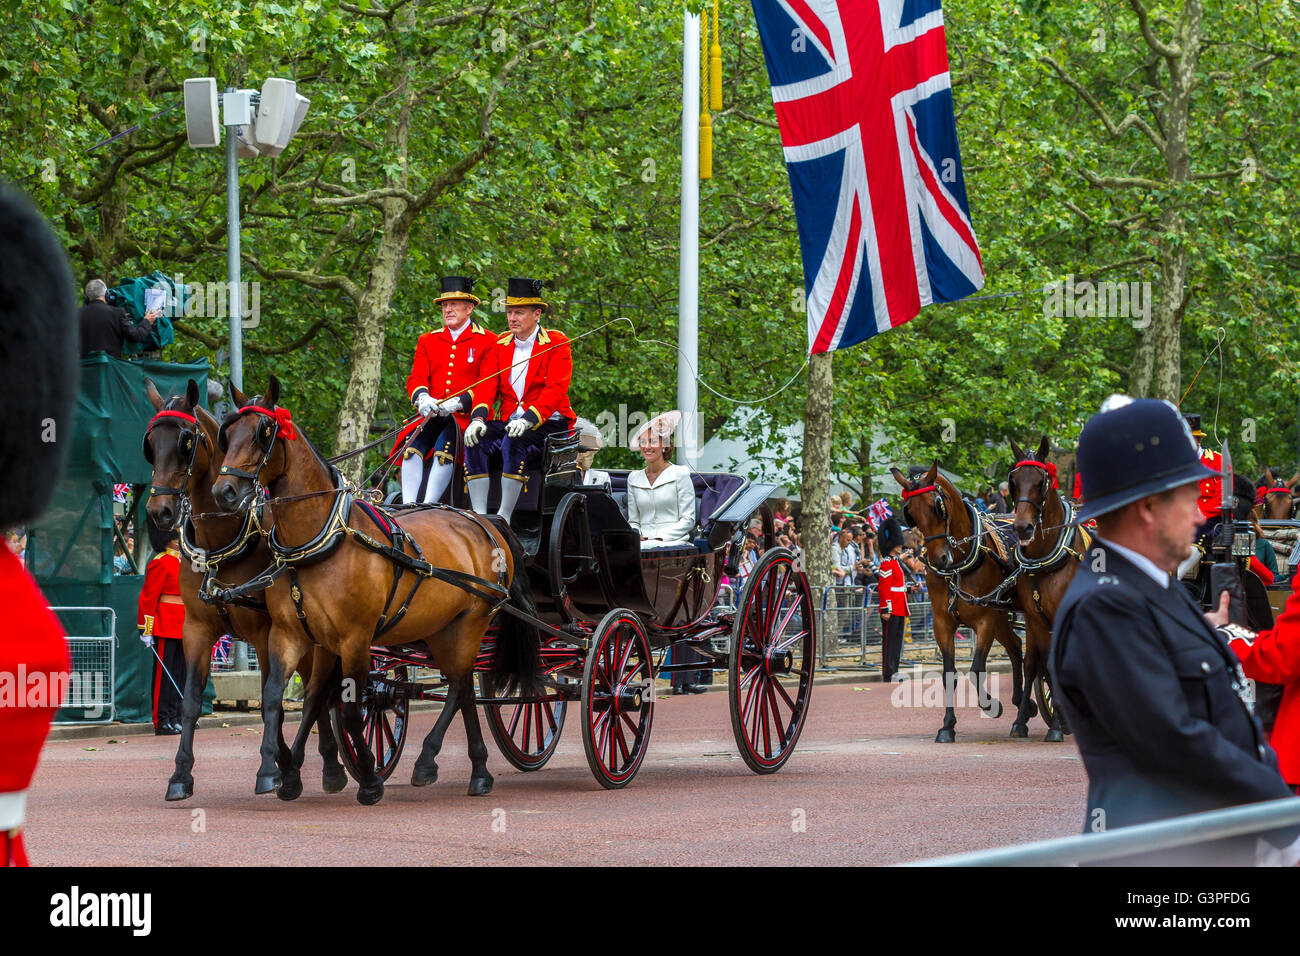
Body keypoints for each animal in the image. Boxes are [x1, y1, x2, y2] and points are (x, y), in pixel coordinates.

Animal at [143, 379, 345, 801]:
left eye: (186, 441)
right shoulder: (196, 631)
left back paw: (325, 764)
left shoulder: (265, 633)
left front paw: (273, 767)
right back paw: (327, 763)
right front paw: (180, 775)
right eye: (151, 442)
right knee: (317, 692)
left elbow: (274, 700)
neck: (223, 544)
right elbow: (190, 702)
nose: (159, 512)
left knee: (317, 692)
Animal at [213, 377, 538, 806]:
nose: (224, 492)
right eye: (228, 432)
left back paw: (432, 761)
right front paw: (282, 770)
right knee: (461, 688)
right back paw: (477, 771)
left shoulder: (355, 639)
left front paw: (368, 777)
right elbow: (280, 700)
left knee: (458, 686)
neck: (320, 541)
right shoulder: (293, 635)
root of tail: (483, 520)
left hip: (471, 623)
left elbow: (351, 710)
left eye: (264, 432)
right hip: (441, 628)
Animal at [894, 468, 1024, 743]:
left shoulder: (985, 620)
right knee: (1017, 647)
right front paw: (947, 726)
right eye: (911, 512)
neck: (960, 565)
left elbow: (976, 670)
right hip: (1002, 615)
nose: (939, 559)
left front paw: (991, 705)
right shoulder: (942, 623)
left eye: (938, 507)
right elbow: (949, 674)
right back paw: (1023, 709)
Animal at [1003, 437, 1086, 743]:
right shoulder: (1033, 618)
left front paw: (1056, 727)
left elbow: (1053, 664)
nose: (1022, 527)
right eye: (1013, 481)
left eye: (1041, 482)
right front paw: (1020, 722)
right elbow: (1033, 664)